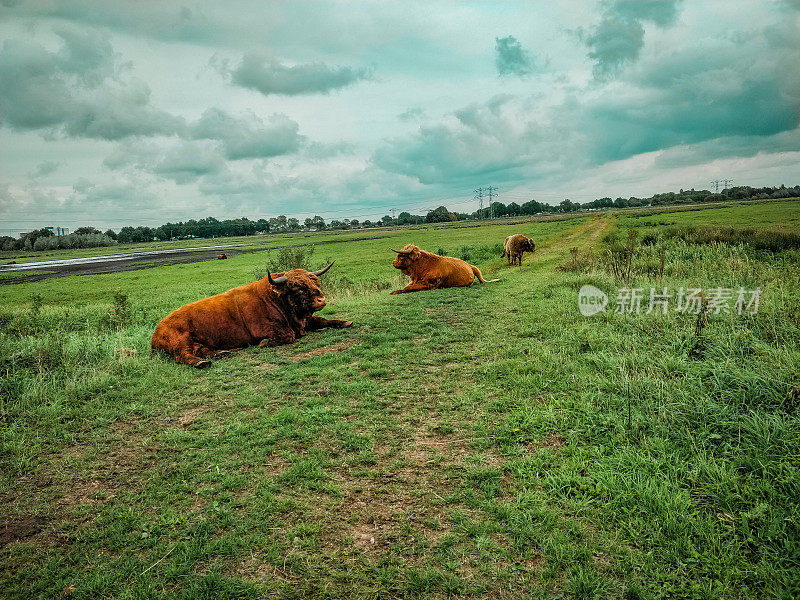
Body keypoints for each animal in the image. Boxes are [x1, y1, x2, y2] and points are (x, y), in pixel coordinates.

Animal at [150, 262, 350, 366]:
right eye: (298, 287)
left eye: (315, 281)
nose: (321, 300)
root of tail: (157, 330)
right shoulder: (268, 329)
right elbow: (288, 336)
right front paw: (265, 343)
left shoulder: (306, 320)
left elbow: (322, 320)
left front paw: (344, 322)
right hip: (181, 342)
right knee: (183, 355)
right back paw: (201, 362)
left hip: (198, 343)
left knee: (204, 350)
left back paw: (222, 353)